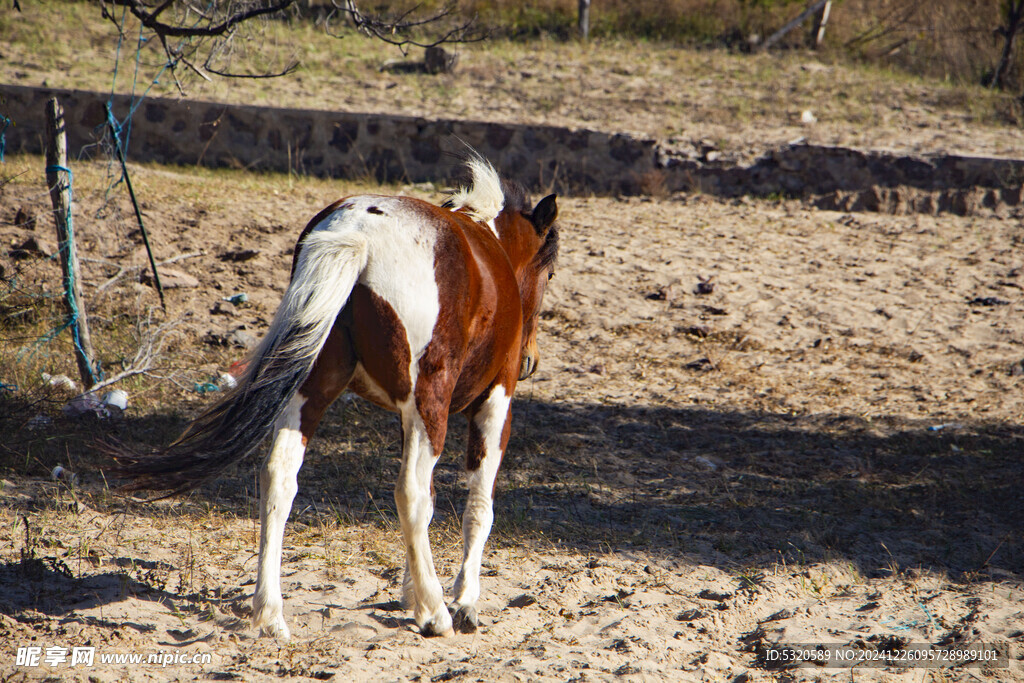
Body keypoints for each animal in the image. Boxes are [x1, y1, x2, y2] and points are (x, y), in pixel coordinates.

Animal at [115, 156, 561, 643]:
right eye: (549, 273)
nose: (531, 360)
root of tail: (357, 233)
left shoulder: (408, 415)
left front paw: (415, 595)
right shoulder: (495, 401)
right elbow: (476, 506)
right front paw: (460, 602)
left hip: (312, 386)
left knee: (280, 475)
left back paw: (271, 615)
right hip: (429, 400)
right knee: (409, 492)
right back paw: (438, 615)